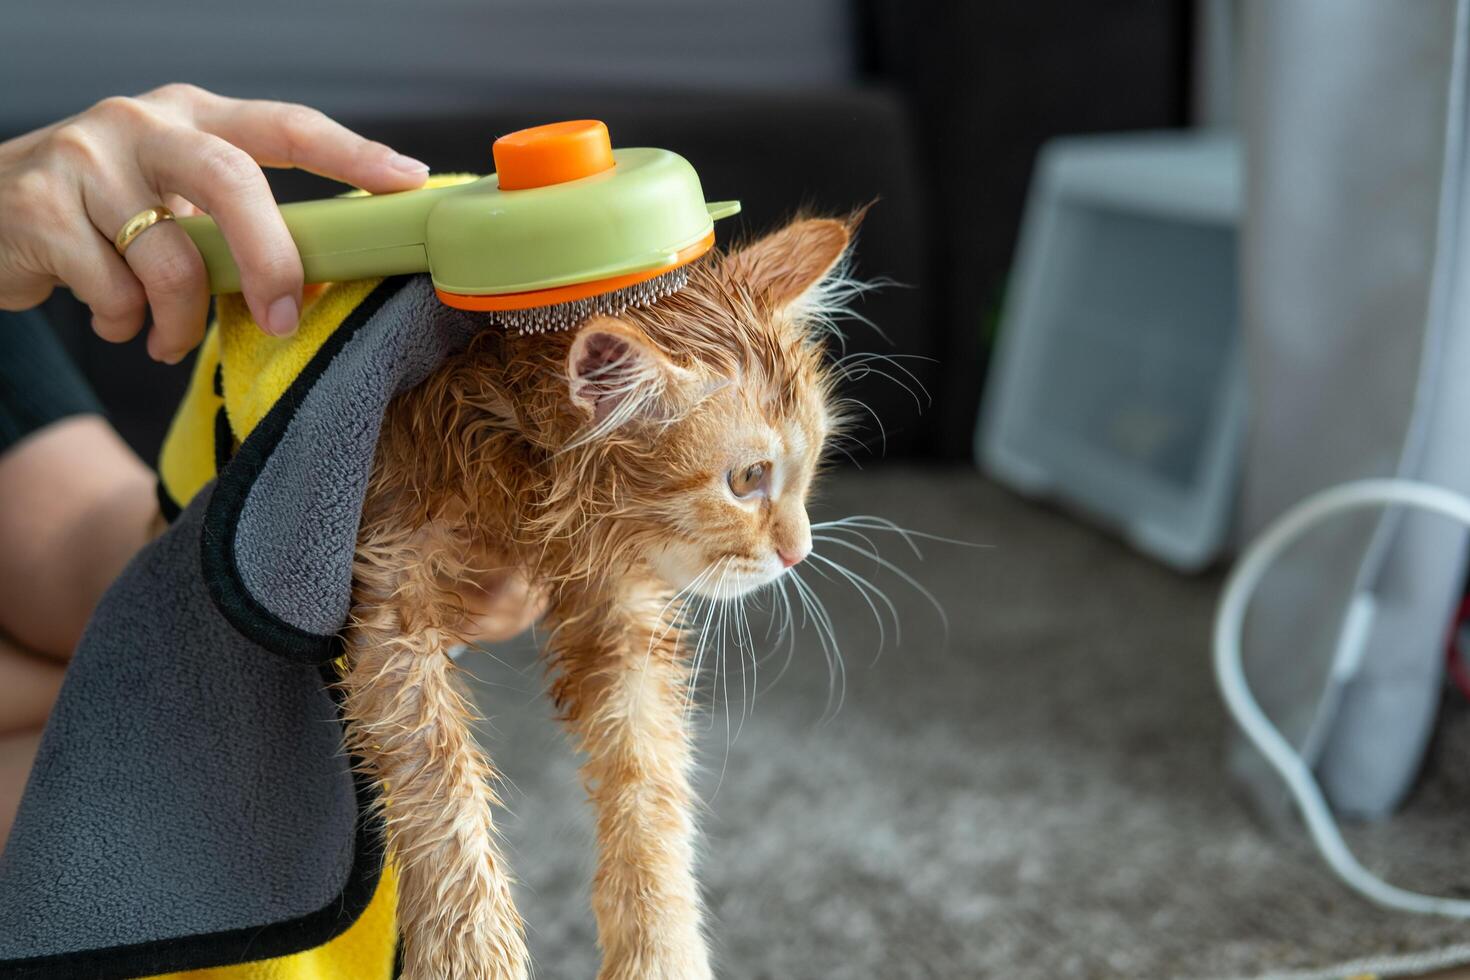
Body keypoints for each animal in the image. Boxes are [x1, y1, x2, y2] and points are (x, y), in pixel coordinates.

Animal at [339, 215, 858, 980]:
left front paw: (662, 950)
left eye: (812, 461)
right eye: (748, 479)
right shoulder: (389, 586)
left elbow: (650, 783)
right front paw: (472, 953)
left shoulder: (622, 611)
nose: (801, 550)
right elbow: (435, 776)